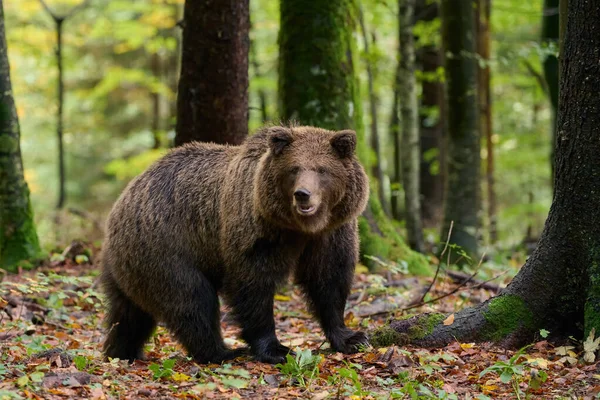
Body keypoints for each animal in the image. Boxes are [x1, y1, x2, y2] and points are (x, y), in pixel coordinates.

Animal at [101, 126, 368, 366]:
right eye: (294, 169)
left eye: (322, 170)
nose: (303, 194)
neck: (301, 228)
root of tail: (122, 199)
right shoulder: (256, 231)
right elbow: (252, 284)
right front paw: (276, 350)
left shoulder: (331, 233)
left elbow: (329, 280)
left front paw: (351, 338)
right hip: (166, 247)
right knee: (192, 298)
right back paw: (221, 352)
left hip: (129, 266)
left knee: (129, 314)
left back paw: (121, 351)